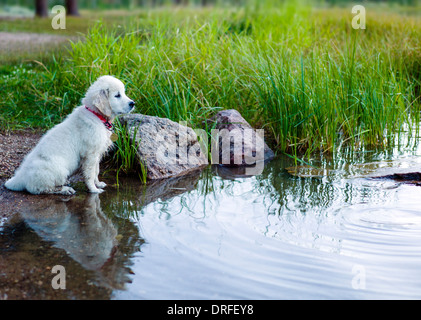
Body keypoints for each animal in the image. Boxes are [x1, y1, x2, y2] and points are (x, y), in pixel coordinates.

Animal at [5, 75, 135, 195]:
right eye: (117, 95)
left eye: (123, 93)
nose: (133, 103)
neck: (96, 115)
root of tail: (20, 178)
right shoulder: (90, 154)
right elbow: (90, 174)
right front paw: (94, 189)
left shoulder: (97, 154)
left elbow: (96, 171)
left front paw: (98, 184)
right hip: (57, 169)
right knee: (41, 189)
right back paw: (65, 190)